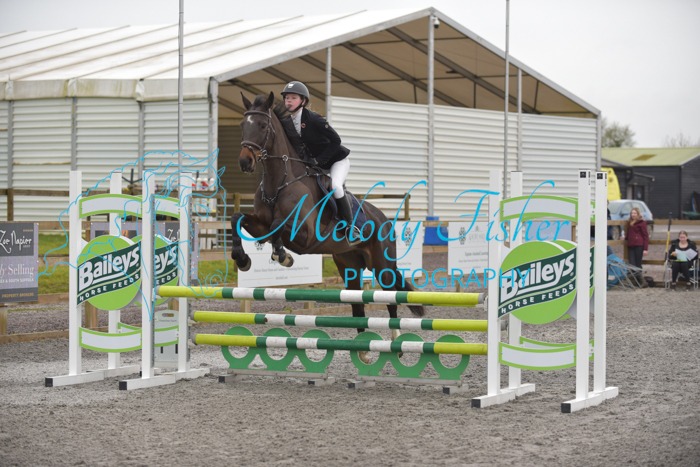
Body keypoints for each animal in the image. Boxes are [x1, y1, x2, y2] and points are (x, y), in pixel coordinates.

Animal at [230, 92, 425, 359]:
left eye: (261, 125)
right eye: (242, 125)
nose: (244, 162)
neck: (280, 181)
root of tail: (384, 219)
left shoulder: (305, 234)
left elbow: (279, 225)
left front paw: (282, 256)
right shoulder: (260, 224)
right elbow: (237, 219)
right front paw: (242, 259)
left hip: (381, 264)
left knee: (390, 295)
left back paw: (396, 345)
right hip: (349, 265)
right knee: (357, 302)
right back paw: (363, 351)